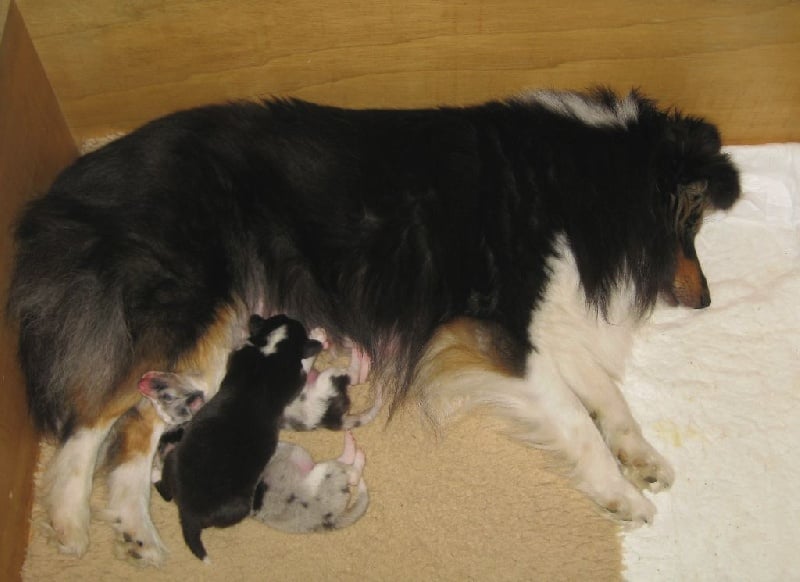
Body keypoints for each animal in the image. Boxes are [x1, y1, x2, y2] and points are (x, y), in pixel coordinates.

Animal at [156, 318, 322, 564]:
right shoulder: (295, 378)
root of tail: (188, 513)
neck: (269, 349)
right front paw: (319, 337)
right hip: (240, 506)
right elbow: (305, 363)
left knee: (165, 493)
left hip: (172, 461)